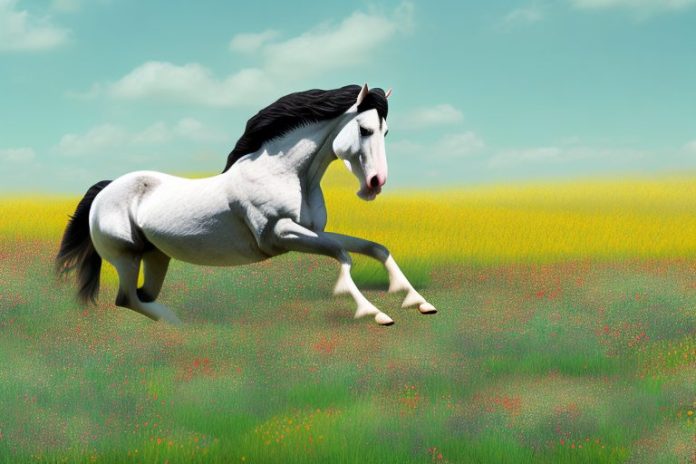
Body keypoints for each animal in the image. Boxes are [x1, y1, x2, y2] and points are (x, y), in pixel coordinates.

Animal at [55, 84, 437, 326]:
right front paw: (376, 313)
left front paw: (420, 303)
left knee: (141, 296)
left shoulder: (312, 232)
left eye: (385, 132)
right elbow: (344, 257)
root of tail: (106, 190)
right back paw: (179, 324)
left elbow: (375, 248)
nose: (375, 184)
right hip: (126, 256)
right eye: (364, 129)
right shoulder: (281, 235)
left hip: (155, 257)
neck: (286, 172)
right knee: (127, 299)